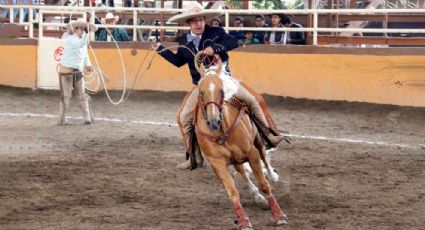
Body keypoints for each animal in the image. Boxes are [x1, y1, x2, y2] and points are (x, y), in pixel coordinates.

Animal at [193, 53, 288, 229]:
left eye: (221, 90)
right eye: (201, 92)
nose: (213, 121)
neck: (222, 130)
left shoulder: (251, 154)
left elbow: (264, 185)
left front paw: (279, 215)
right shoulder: (218, 163)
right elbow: (233, 192)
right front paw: (243, 221)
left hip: (257, 140)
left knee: (264, 157)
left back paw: (272, 175)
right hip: (234, 159)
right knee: (242, 171)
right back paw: (257, 197)